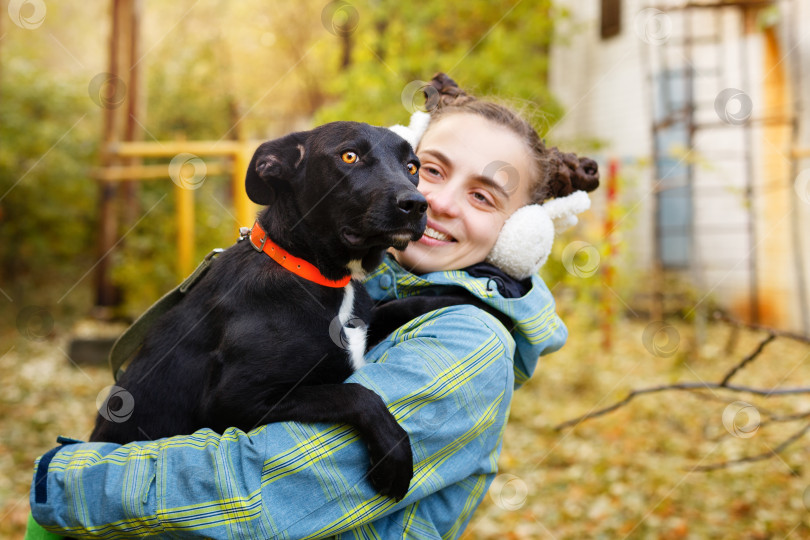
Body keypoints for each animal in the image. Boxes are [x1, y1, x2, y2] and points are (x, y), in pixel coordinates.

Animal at [90, 120, 426, 500]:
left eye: (412, 167)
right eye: (349, 156)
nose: (416, 204)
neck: (312, 273)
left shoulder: (361, 325)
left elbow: (407, 304)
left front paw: (460, 295)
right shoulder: (234, 402)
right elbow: (353, 393)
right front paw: (394, 454)